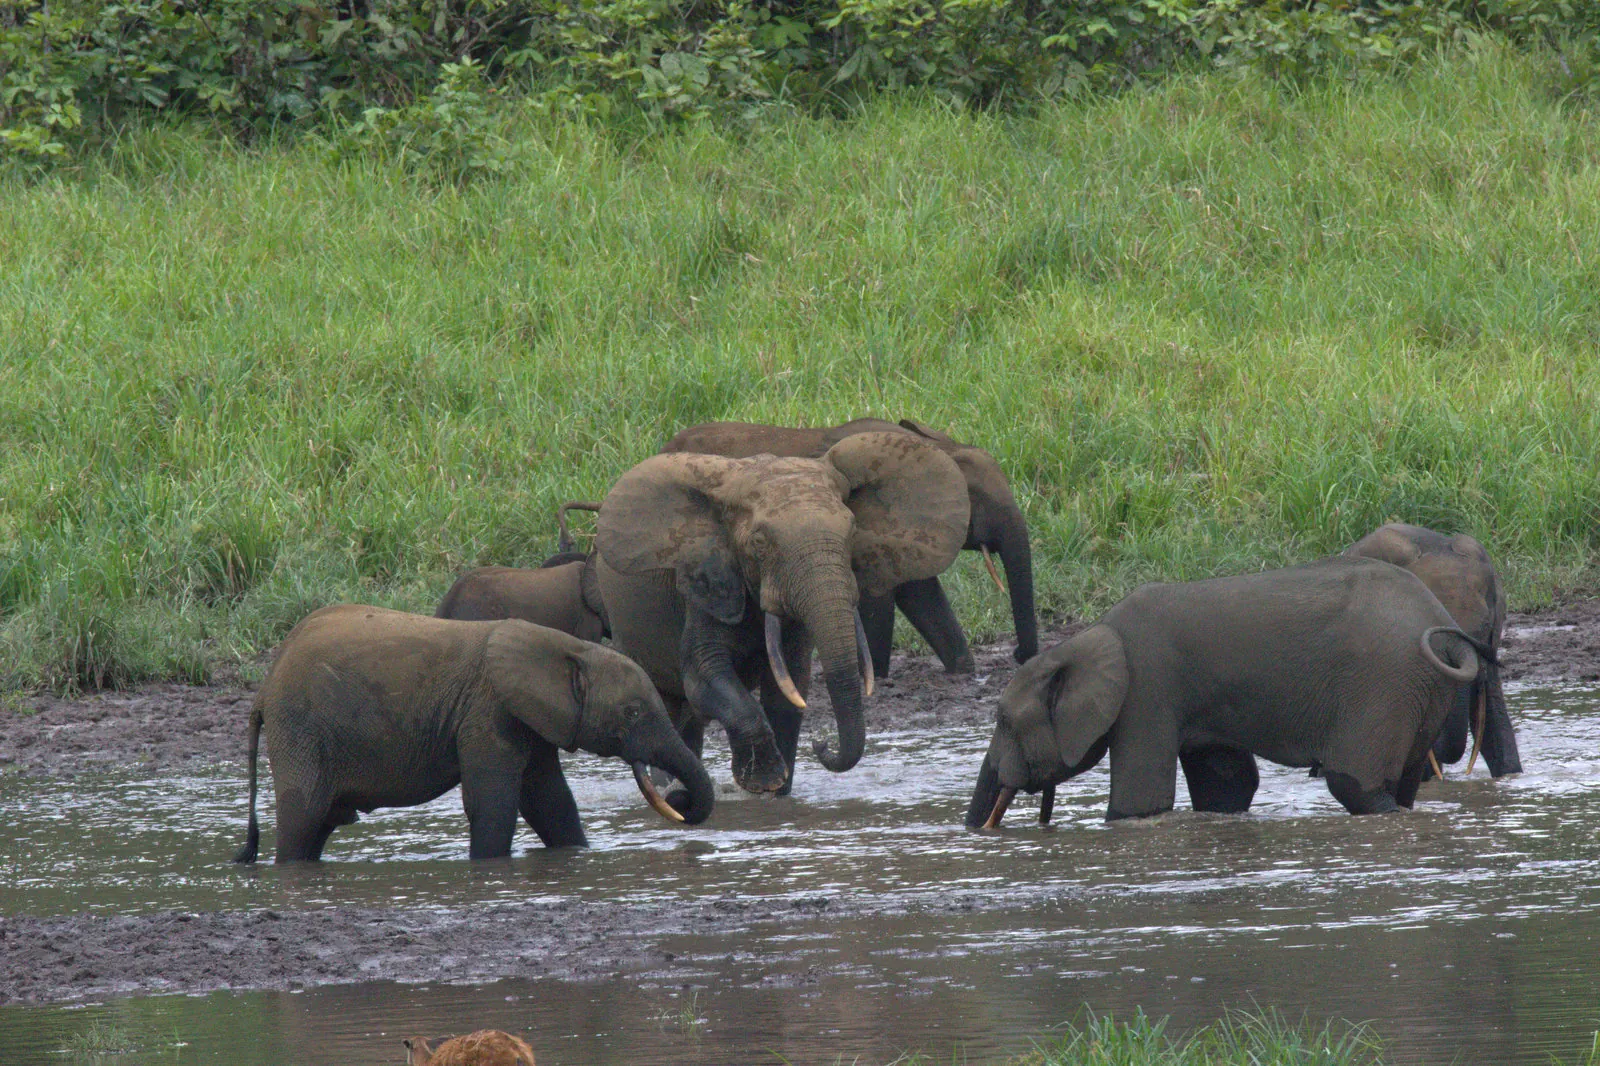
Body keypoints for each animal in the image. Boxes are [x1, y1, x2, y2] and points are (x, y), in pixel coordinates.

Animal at [233, 605, 712, 863]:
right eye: (632, 713)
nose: (680, 800)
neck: (568, 648)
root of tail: (265, 688)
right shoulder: (488, 711)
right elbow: (495, 803)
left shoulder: (530, 716)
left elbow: (551, 802)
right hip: (300, 727)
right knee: (304, 817)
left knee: (319, 825)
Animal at [596, 431, 969, 796]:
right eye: (760, 543)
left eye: (852, 531)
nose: (822, 744)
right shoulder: (703, 584)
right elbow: (705, 676)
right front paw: (762, 781)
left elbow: (790, 686)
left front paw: (777, 796)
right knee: (664, 708)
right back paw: (671, 792)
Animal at [662, 417, 1036, 674]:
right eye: (978, 500)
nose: (1017, 655)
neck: (934, 447)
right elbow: (878, 601)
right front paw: (876, 678)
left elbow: (921, 595)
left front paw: (962, 669)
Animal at [966, 556, 1489, 827]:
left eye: (1004, 721)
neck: (1083, 640)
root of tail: (1443, 628)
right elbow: (1226, 790)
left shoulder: (1147, 693)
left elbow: (1137, 806)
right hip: (1419, 691)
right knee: (1400, 785)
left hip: (1382, 685)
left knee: (1354, 786)